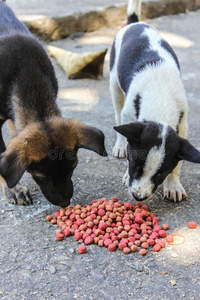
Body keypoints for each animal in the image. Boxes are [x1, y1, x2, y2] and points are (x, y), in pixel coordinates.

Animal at [110, 0, 199, 203]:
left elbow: (178, 162)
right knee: (118, 116)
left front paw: (173, 185)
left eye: (160, 174)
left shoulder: (182, 124)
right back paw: (119, 146)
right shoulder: (129, 115)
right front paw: (126, 173)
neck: (161, 99)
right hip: (114, 84)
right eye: (135, 166)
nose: (139, 197)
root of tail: (135, 23)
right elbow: (128, 140)